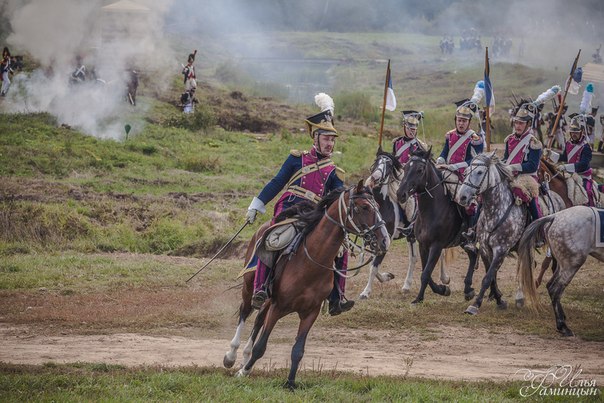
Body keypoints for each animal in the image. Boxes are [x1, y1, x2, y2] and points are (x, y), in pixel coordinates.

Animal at [224, 182, 390, 388]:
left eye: (378, 206)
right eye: (365, 207)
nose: (385, 240)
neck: (312, 261)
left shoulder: (311, 312)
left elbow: (298, 350)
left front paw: (290, 383)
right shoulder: (278, 307)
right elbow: (261, 346)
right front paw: (243, 372)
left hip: (269, 300)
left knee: (259, 318)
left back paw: (245, 356)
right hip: (250, 288)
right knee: (245, 312)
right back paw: (231, 355)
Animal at [356, 149, 450, 300]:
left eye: (389, 166)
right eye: (376, 162)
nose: (374, 178)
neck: (381, 205)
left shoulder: (385, 241)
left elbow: (373, 267)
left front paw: (366, 292)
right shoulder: (370, 240)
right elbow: (367, 263)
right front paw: (387, 276)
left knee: (439, 254)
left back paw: (444, 277)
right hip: (411, 236)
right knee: (413, 258)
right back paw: (406, 285)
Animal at [396, 148, 482, 304]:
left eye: (420, 169)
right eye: (405, 168)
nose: (400, 194)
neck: (432, 211)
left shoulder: (437, 246)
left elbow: (425, 273)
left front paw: (420, 297)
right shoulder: (423, 245)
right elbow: (426, 272)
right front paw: (441, 289)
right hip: (463, 242)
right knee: (473, 256)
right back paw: (468, 290)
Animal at [458, 153, 568, 314]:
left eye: (479, 172)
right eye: (466, 172)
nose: (462, 197)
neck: (496, 211)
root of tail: (559, 198)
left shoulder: (501, 250)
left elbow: (487, 277)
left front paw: (475, 304)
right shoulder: (485, 249)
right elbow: (491, 275)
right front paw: (499, 299)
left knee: (554, 266)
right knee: (530, 264)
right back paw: (521, 297)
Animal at [516, 207, 604, 336]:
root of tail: (554, 216)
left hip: (562, 265)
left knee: (551, 286)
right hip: (572, 264)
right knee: (555, 289)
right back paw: (563, 326)